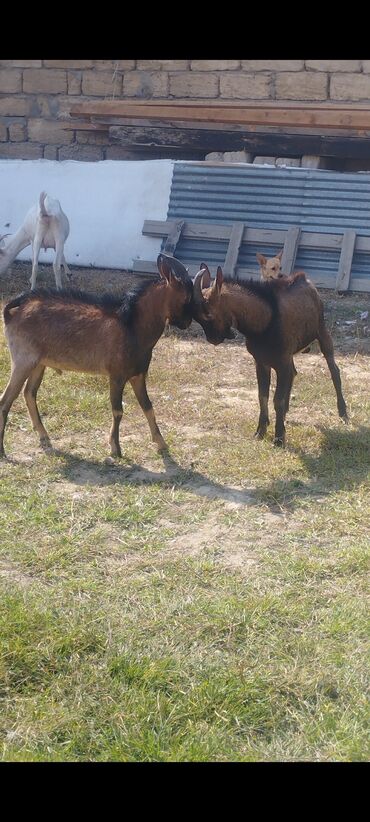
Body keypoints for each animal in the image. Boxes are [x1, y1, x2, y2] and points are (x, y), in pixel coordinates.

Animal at [0, 254, 194, 460]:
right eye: (187, 296)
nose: (187, 322)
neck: (132, 325)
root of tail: (12, 312)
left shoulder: (138, 375)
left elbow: (148, 406)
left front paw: (161, 444)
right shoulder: (117, 375)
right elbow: (118, 410)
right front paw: (116, 448)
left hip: (38, 363)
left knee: (29, 393)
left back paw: (44, 437)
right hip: (22, 360)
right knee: (6, 401)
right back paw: (3, 450)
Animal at [191, 264, 346, 448]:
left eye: (208, 313)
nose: (213, 339)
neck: (265, 323)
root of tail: (306, 281)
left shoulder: (282, 361)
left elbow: (277, 399)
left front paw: (279, 437)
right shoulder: (261, 362)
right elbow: (262, 396)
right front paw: (261, 430)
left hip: (322, 332)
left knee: (334, 371)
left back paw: (343, 412)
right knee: (293, 373)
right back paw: (286, 414)